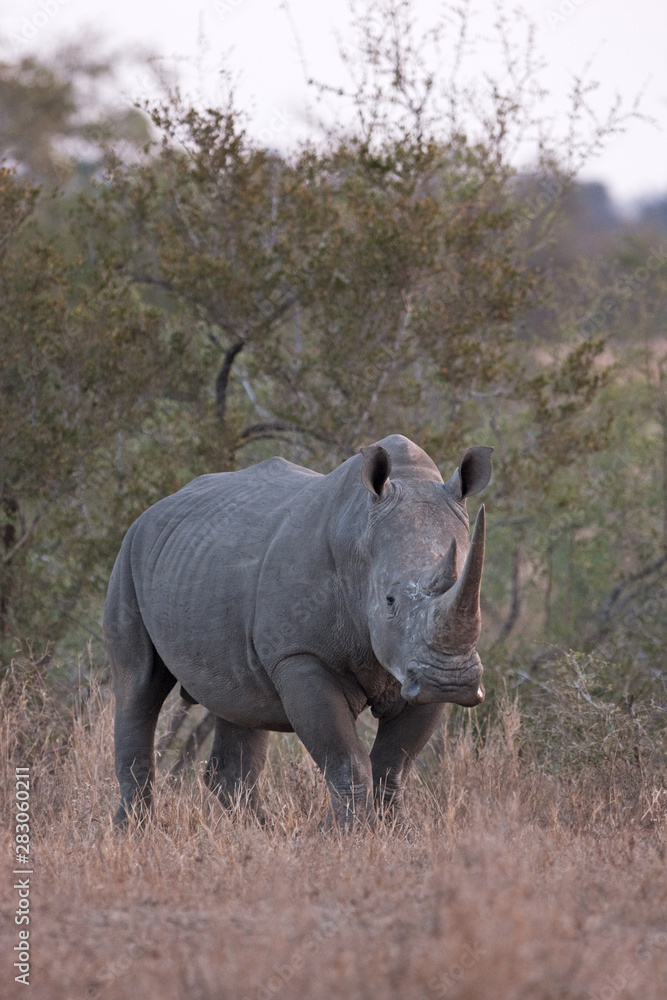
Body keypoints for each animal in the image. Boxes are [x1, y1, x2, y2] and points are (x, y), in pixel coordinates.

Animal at [104, 434, 492, 828]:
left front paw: (396, 832)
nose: (450, 681)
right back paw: (133, 831)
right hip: (129, 555)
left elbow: (392, 765)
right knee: (139, 684)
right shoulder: (299, 654)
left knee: (240, 702)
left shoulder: (415, 665)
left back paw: (258, 830)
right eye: (389, 600)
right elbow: (346, 760)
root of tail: (155, 508)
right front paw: (350, 833)